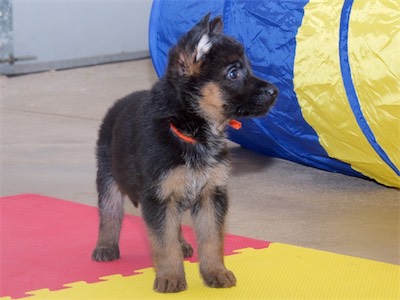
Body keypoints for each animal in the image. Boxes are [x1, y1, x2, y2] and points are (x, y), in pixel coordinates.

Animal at [91, 12, 278, 292]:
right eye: (233, 72)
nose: (275, 92)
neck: (190, 132)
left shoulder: (211, 195)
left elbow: (212, 240)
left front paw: (215, 272)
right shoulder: (159, 197)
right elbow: (164, 242)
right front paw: (170, 277)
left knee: (175, 224)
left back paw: (183, 244)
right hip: (109, 177)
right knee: (111, 213)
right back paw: (105, 246)